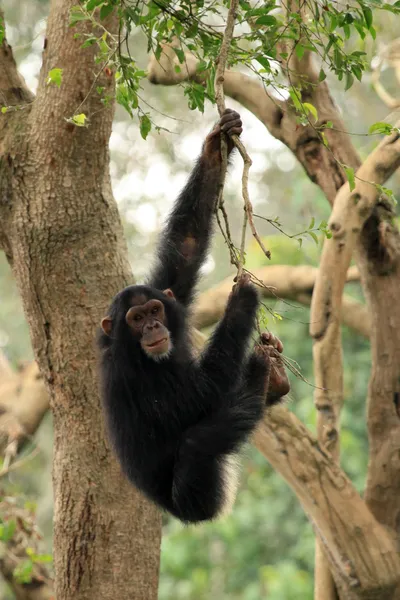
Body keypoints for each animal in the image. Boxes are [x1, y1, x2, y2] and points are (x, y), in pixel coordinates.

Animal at [97, 109, 290, 524]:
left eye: (154, 310)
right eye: (135, 319)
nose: (153, 326)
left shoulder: (171, 294)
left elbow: (185, 247)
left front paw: (217, 144)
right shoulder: (128, 374)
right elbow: (196, 395)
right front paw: (242, 302)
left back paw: (274, 381)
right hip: (196, 496)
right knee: (198, 441)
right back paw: (260, 377)